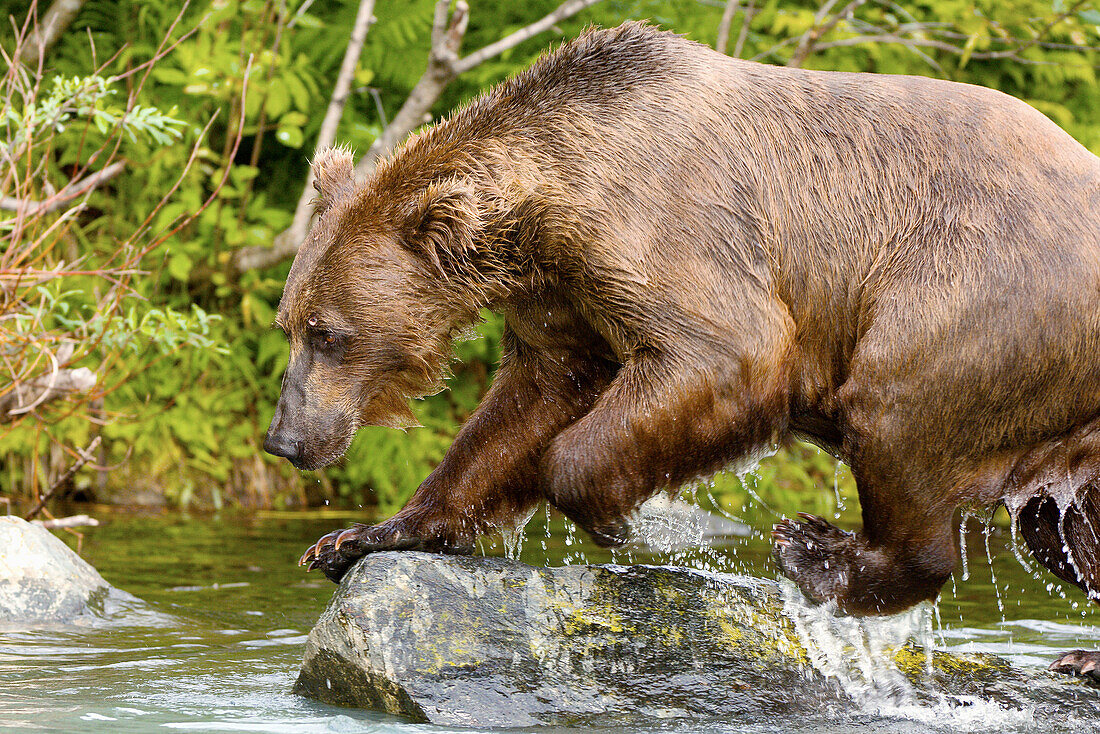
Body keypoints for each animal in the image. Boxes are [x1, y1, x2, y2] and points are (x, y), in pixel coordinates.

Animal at [266, 21, 1100, 677]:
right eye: (290, 323)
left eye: (328, 333)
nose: (285, 440)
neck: (548, 199)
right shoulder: (560, 299)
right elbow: (519, 414)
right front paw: (354, 537)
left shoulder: (667, 224)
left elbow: (729, 354)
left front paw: (614, 517)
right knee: (1063, 530)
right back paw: (1078, 653)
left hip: (974, 294)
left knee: (895, 415)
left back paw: (816, 551)